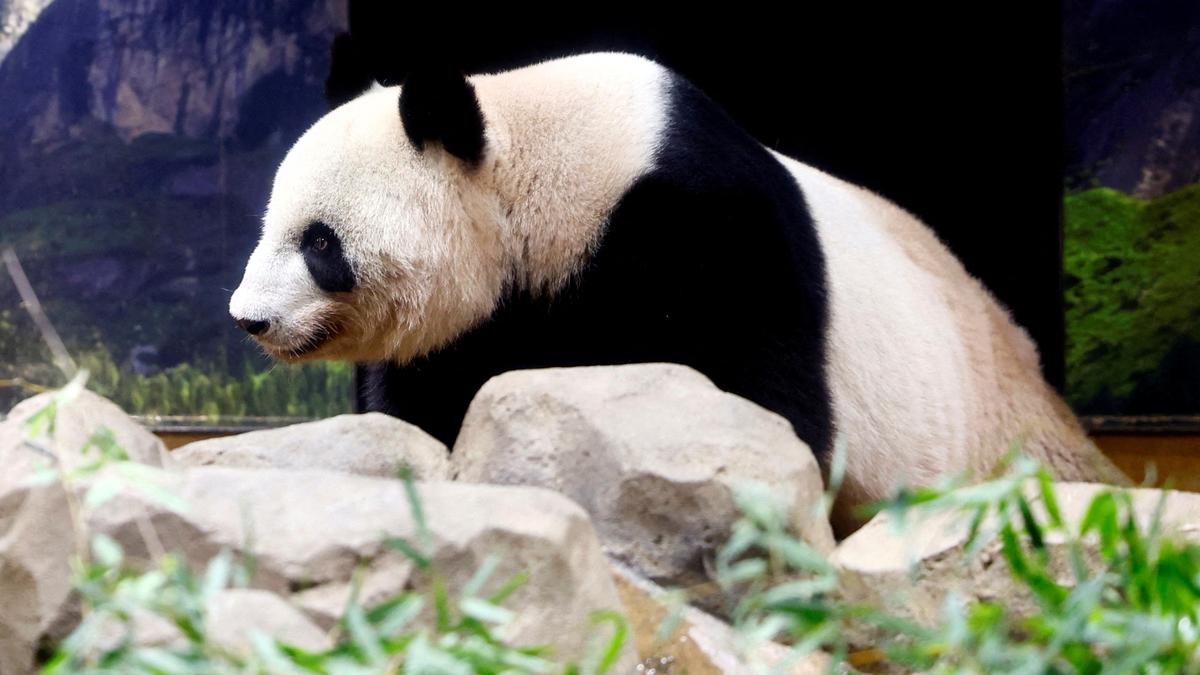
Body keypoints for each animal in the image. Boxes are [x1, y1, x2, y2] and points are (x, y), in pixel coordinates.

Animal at [229, 51, 1128, 530]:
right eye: (271, 226)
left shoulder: (707, 228)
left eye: (319, 242)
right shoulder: (483, 314)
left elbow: (759, 398)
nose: (249, 319)